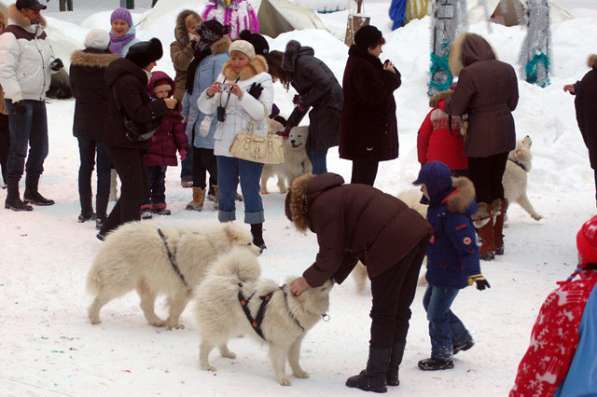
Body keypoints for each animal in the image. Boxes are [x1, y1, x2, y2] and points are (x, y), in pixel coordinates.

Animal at [86, 223, 258, 328]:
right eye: (249, 243)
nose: (260, 249)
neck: (214, 247)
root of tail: (111, 238)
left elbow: (175, 307)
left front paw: (170, 322)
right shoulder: (185, 287)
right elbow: (178, 308)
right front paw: (174, 325)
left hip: (148, 282)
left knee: (145, 305)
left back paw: (156, 321)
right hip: (122, 280)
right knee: (100, 298)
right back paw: (94, 318)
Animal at [194, 248, 330, 384]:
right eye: (321, 285)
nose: (332, 277)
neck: (290, 307)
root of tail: (219, 277)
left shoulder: (295, 342)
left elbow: (294, 360)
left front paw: (299, 374)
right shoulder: (279, 344)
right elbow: (280, 363)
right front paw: (282, 379)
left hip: (230, 326)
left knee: (221, 342)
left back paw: (227, 354)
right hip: (219, 326)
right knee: (204, 346)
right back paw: (206, 365)